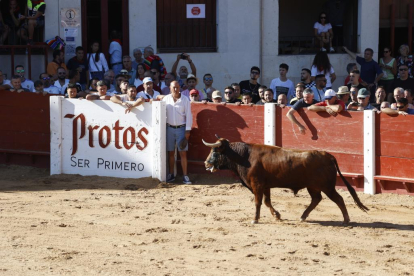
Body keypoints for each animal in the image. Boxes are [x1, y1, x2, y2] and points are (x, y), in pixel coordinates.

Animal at [204, 137, 368, 225]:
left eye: (214, 151)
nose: (206, 163)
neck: (244, 156)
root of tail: (328, 155)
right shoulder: (265, 186)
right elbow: (267, 201)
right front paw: (277, 215)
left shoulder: (257, 185)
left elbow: (258, 202)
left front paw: (255, 219)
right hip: (313, 187)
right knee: (316, 199)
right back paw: (303, 216)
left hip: (327, 186)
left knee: (338, 199)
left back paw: (346, 220)